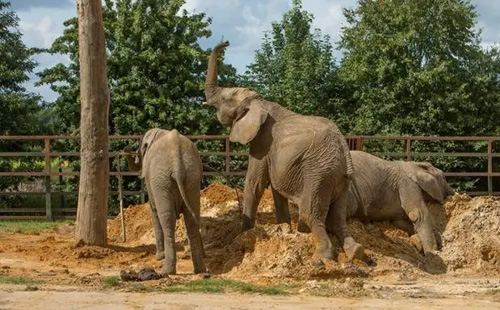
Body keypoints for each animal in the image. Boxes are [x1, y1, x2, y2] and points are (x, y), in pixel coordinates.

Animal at [126, 129, 206, 276]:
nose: (127, 148)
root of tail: (177, 164)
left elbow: (154, 210)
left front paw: (159, 257)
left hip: (161, 181)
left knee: (167, 218)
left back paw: (167, 270)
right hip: (192, 177)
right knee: (191, 218)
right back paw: (199, 270)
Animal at [203, 41, 364, 262]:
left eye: (225, 98)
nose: (227, 42)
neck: (260, 102)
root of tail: (343, 147)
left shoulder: (262, 142)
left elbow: (255, 184)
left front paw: (242, 237)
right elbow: (275, 188)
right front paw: (284, 229)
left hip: (319, 173)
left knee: (310, 212)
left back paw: (321, 258)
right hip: (341, 178)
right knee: (337, 217)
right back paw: (355, 251)